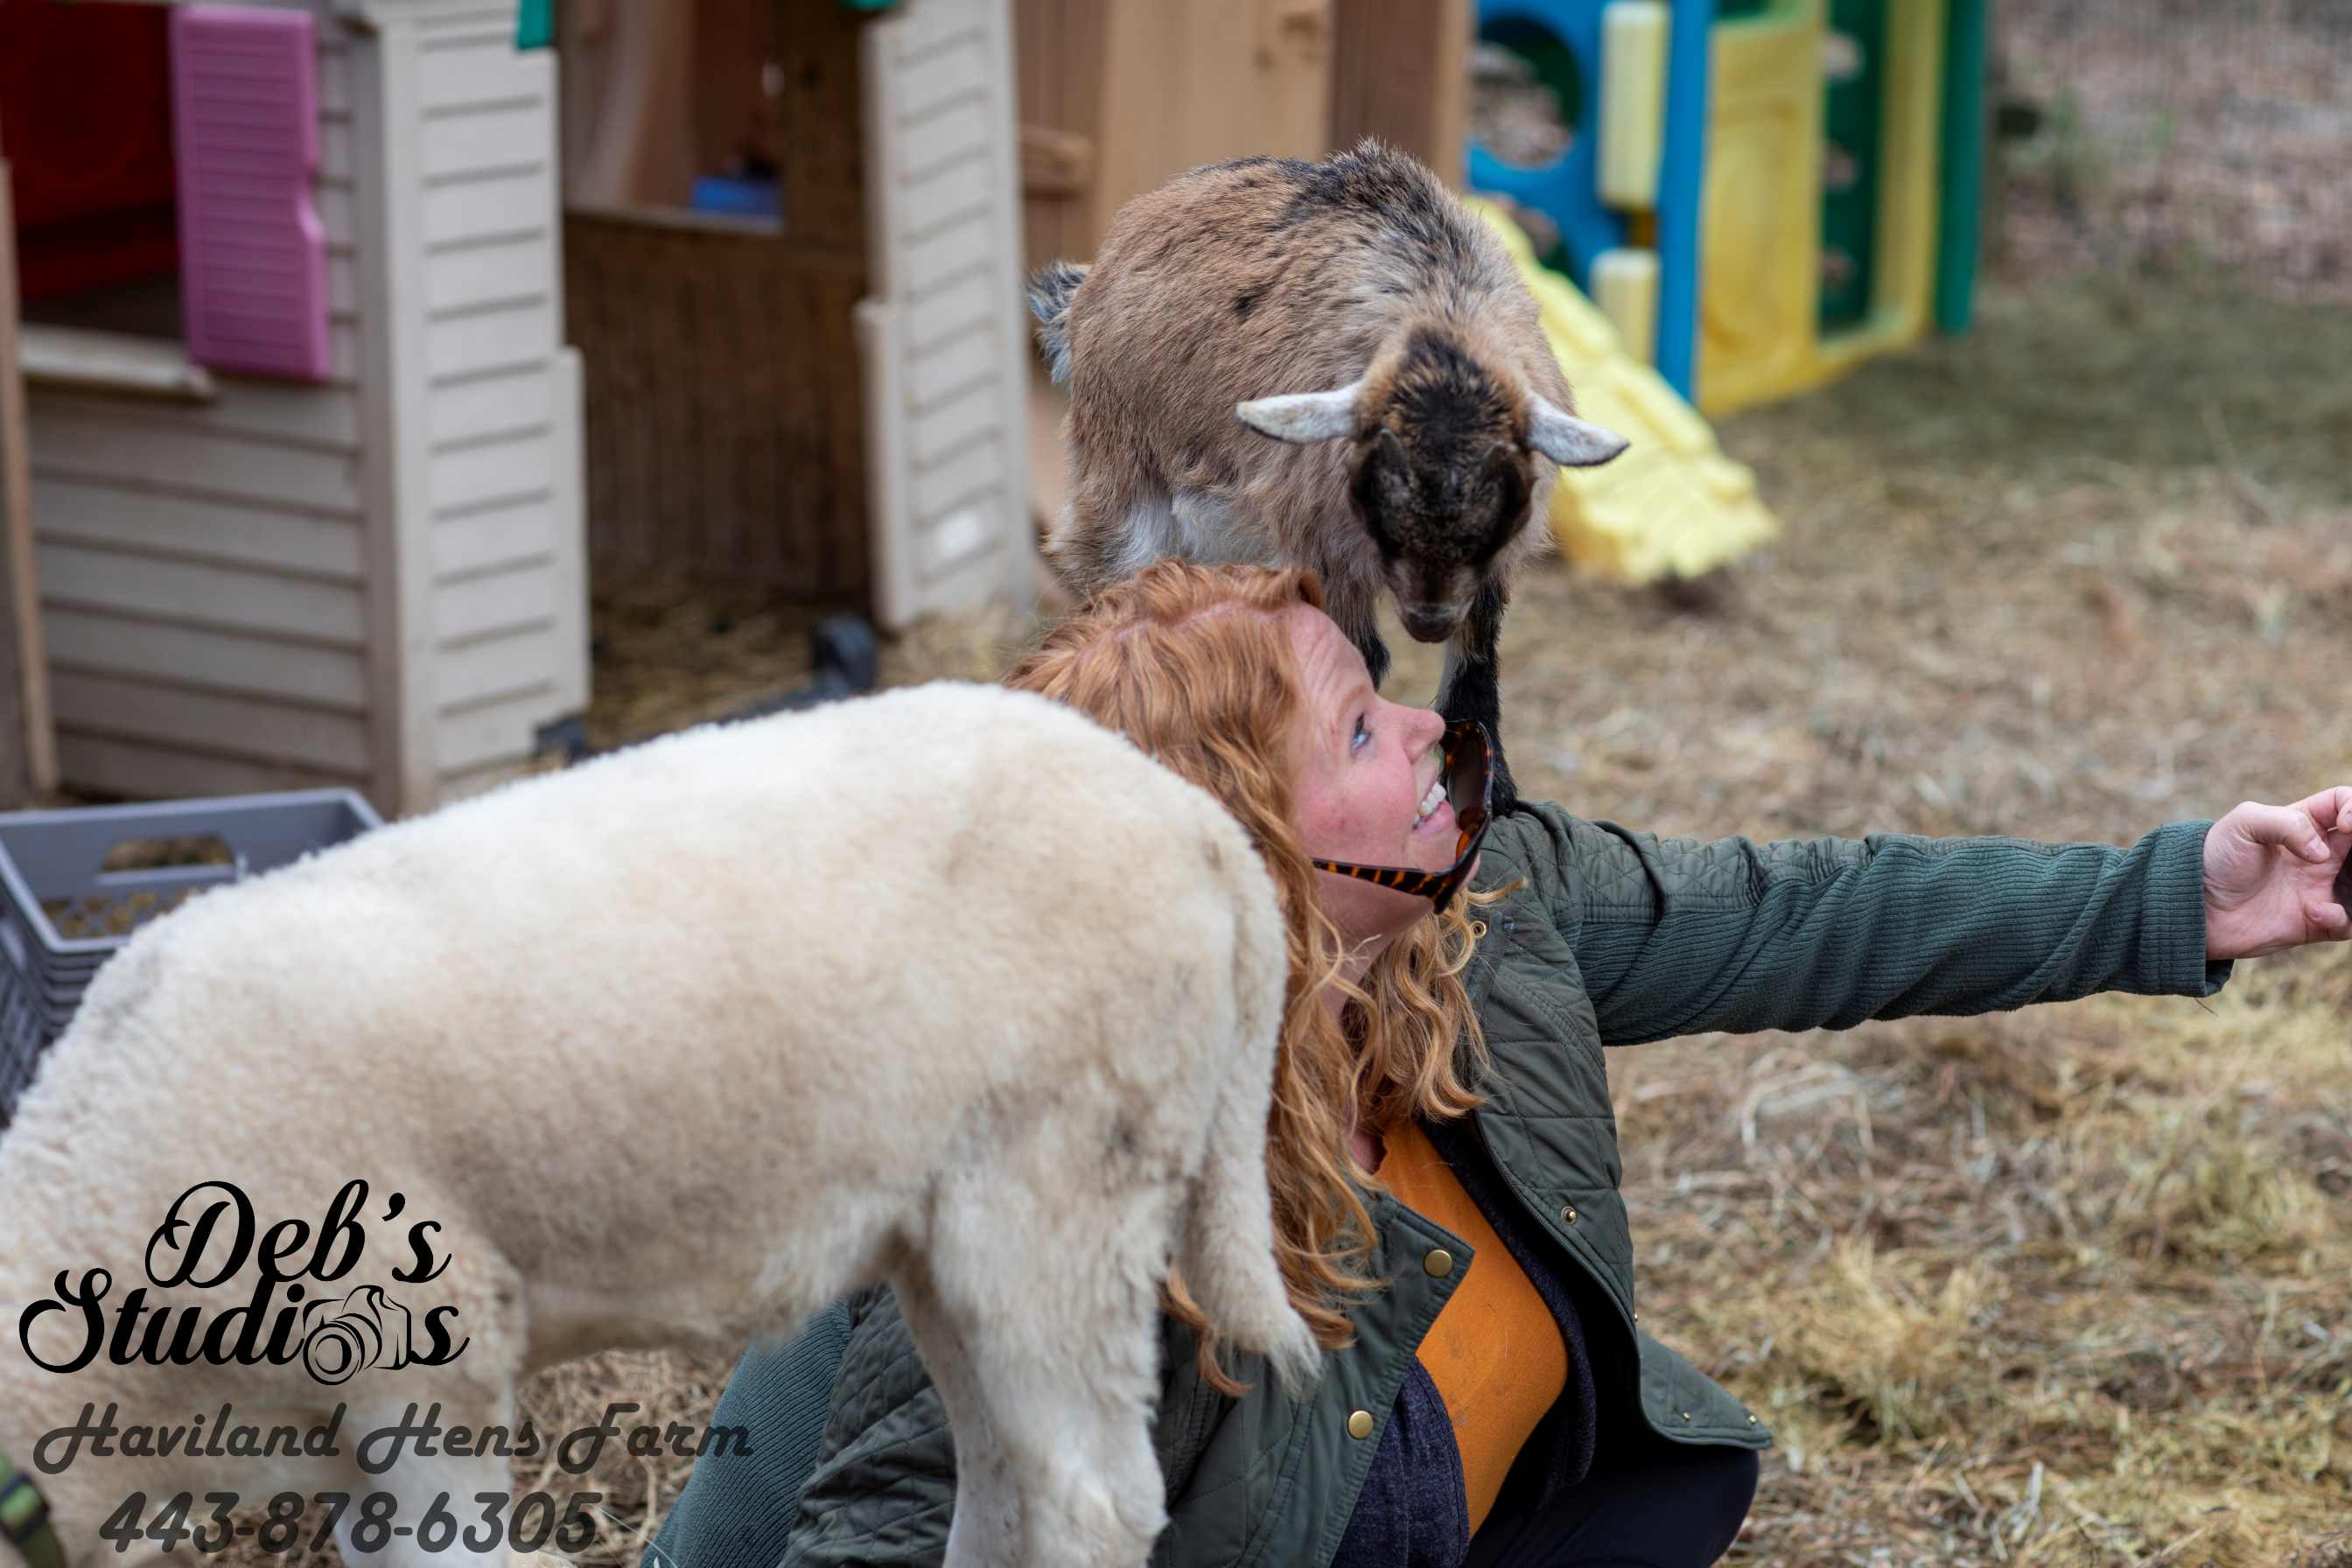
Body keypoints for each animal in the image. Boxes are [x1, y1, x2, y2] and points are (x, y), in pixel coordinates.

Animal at [0, 680, 1319, 1568]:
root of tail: (1200, 826)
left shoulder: (425, 1350)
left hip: (1062, 1182)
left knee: (1095, 1500)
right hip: (954, 1236)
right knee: (1007, 1477)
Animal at [1028, 138, 1628, 807]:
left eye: (1497, 509)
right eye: (1377, 499)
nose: (1427, 620)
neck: (1440, 312)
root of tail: (1085, 287)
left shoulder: (1488, 567)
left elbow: (1475, 646)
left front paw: (1490, 783)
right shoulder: (1323, 541)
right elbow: (1359, 655)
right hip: (1122, 480)